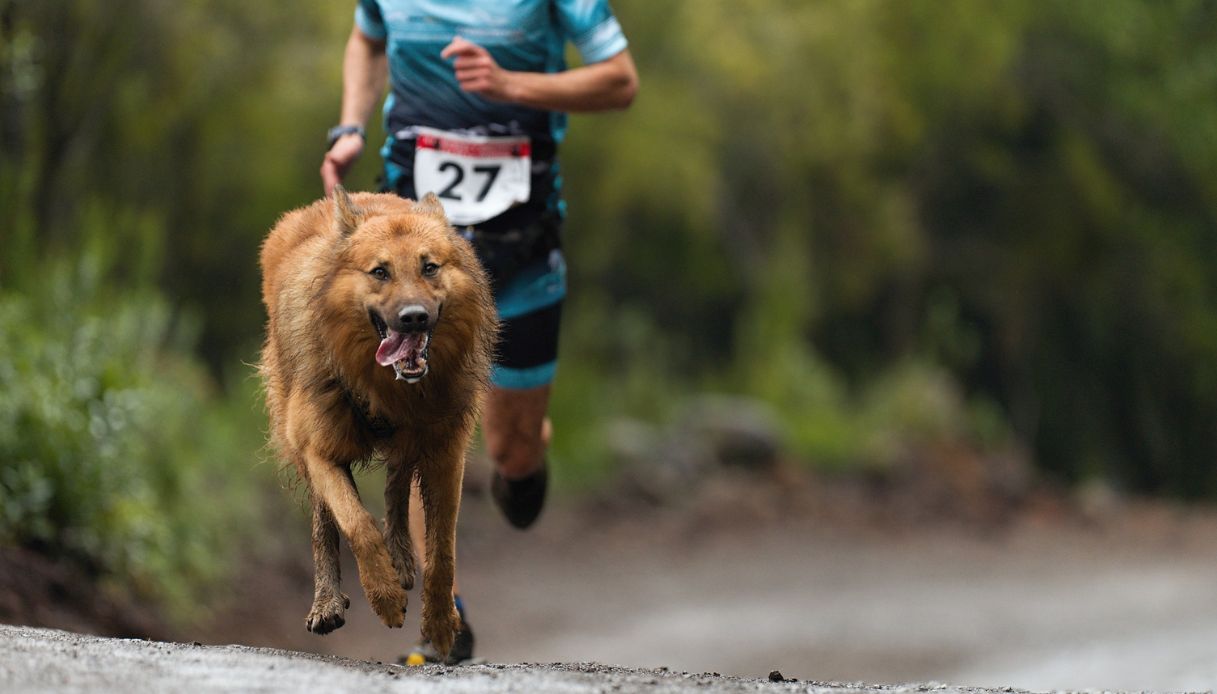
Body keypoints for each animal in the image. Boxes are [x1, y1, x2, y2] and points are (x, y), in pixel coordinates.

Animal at [259, 187, 496, 652]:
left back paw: (401, 558)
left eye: (429, 267)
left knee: (397, 480)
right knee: (325, 520)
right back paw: (328, 601)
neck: (388, 390)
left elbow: (442, 550)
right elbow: (357, 524)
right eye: (380, 272)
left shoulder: (446, 452)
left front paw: (440, 624)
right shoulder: (318, 448)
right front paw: (384, 597)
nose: (414, 317)